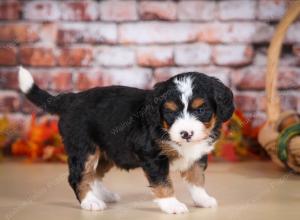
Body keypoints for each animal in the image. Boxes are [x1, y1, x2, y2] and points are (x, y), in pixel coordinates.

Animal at [18, 67, 234, 215]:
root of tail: (71, 99)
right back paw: (90, 202)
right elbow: (163, 181)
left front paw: (203, 199)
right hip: (83, 148)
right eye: (171, 112)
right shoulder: (152, 155)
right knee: (78, 176)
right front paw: (171, 204)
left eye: (201, 110)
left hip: (108, 151)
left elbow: (197, 178)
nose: (186, 133)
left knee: (94, 174)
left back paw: (103, 194)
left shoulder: (198, 155)